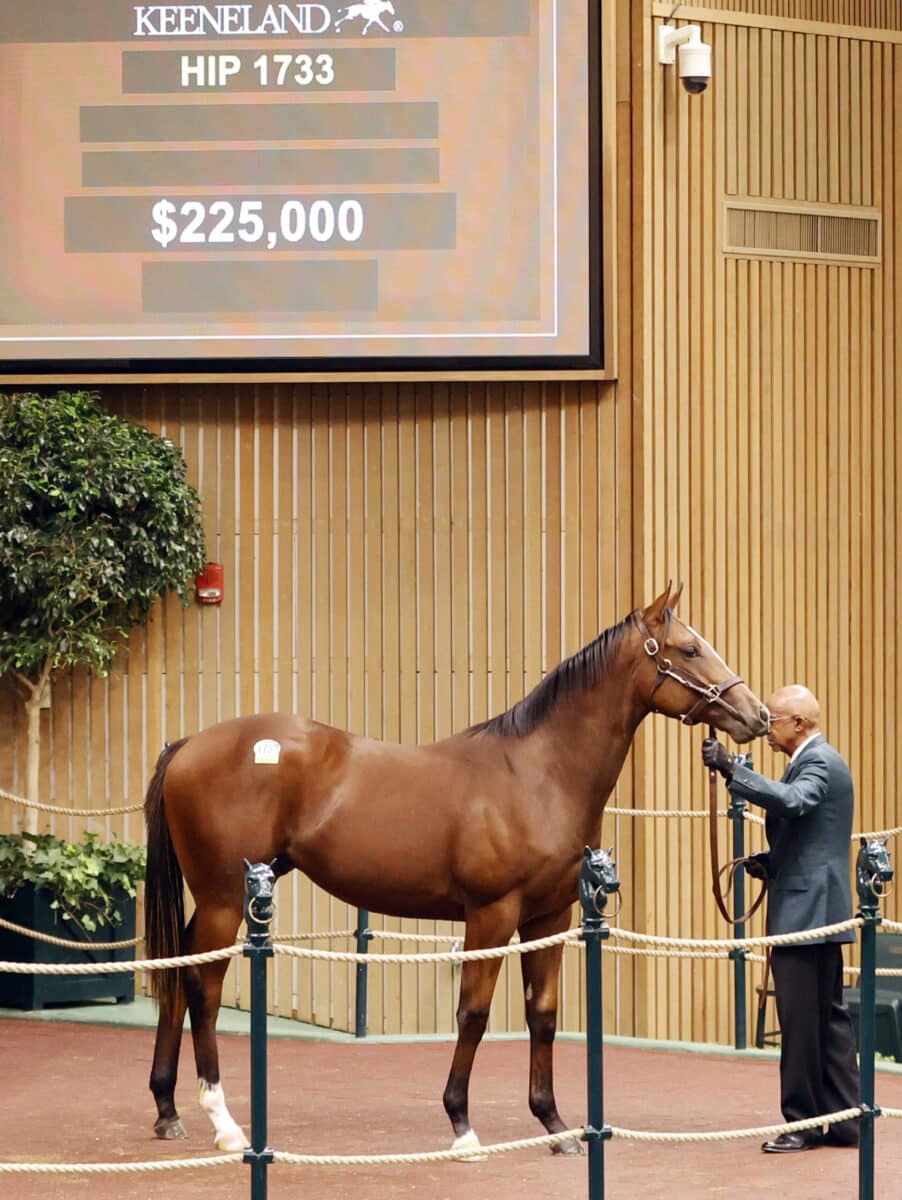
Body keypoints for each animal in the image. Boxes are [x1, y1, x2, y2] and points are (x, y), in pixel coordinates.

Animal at [144, 585, 762, 1156]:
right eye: (688, 649)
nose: (755, 714)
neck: (538, 774)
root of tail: (188, 745)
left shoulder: (548, 917)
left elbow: (542, 1014)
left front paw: (556, 1125)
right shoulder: (491, 914)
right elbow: (473, 1014)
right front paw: (462, 1125)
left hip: (221, 898)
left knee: (178, 972)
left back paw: (168, 1110)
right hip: (227, 900)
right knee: (203, 987)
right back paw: (225, 1125)